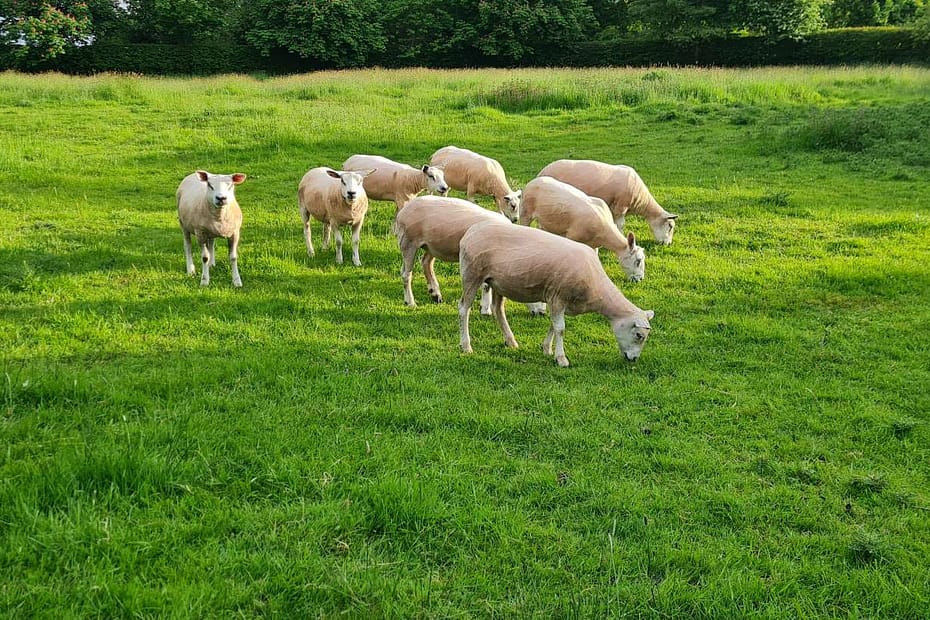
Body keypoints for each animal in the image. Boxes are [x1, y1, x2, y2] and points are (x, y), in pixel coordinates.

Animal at [458, 220, 655, 367]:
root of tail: (471, 231)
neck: (597, 292)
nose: (634, 359)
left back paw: (511, 341)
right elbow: (560, 329)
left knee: (498, 309)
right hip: (472, 274)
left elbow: (553, 326)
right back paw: (466, 346)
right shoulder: (559, 297)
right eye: (639, 335)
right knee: (464, 308)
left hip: (498, 282)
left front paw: (547, 349)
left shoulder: (559, 301)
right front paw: (561, 359)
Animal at [538, 159, 678, 245]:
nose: (667, 244)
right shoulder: (621, 206)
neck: (640, 201)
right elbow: (620, 225)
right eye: (670, 226)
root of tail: (542, 172)